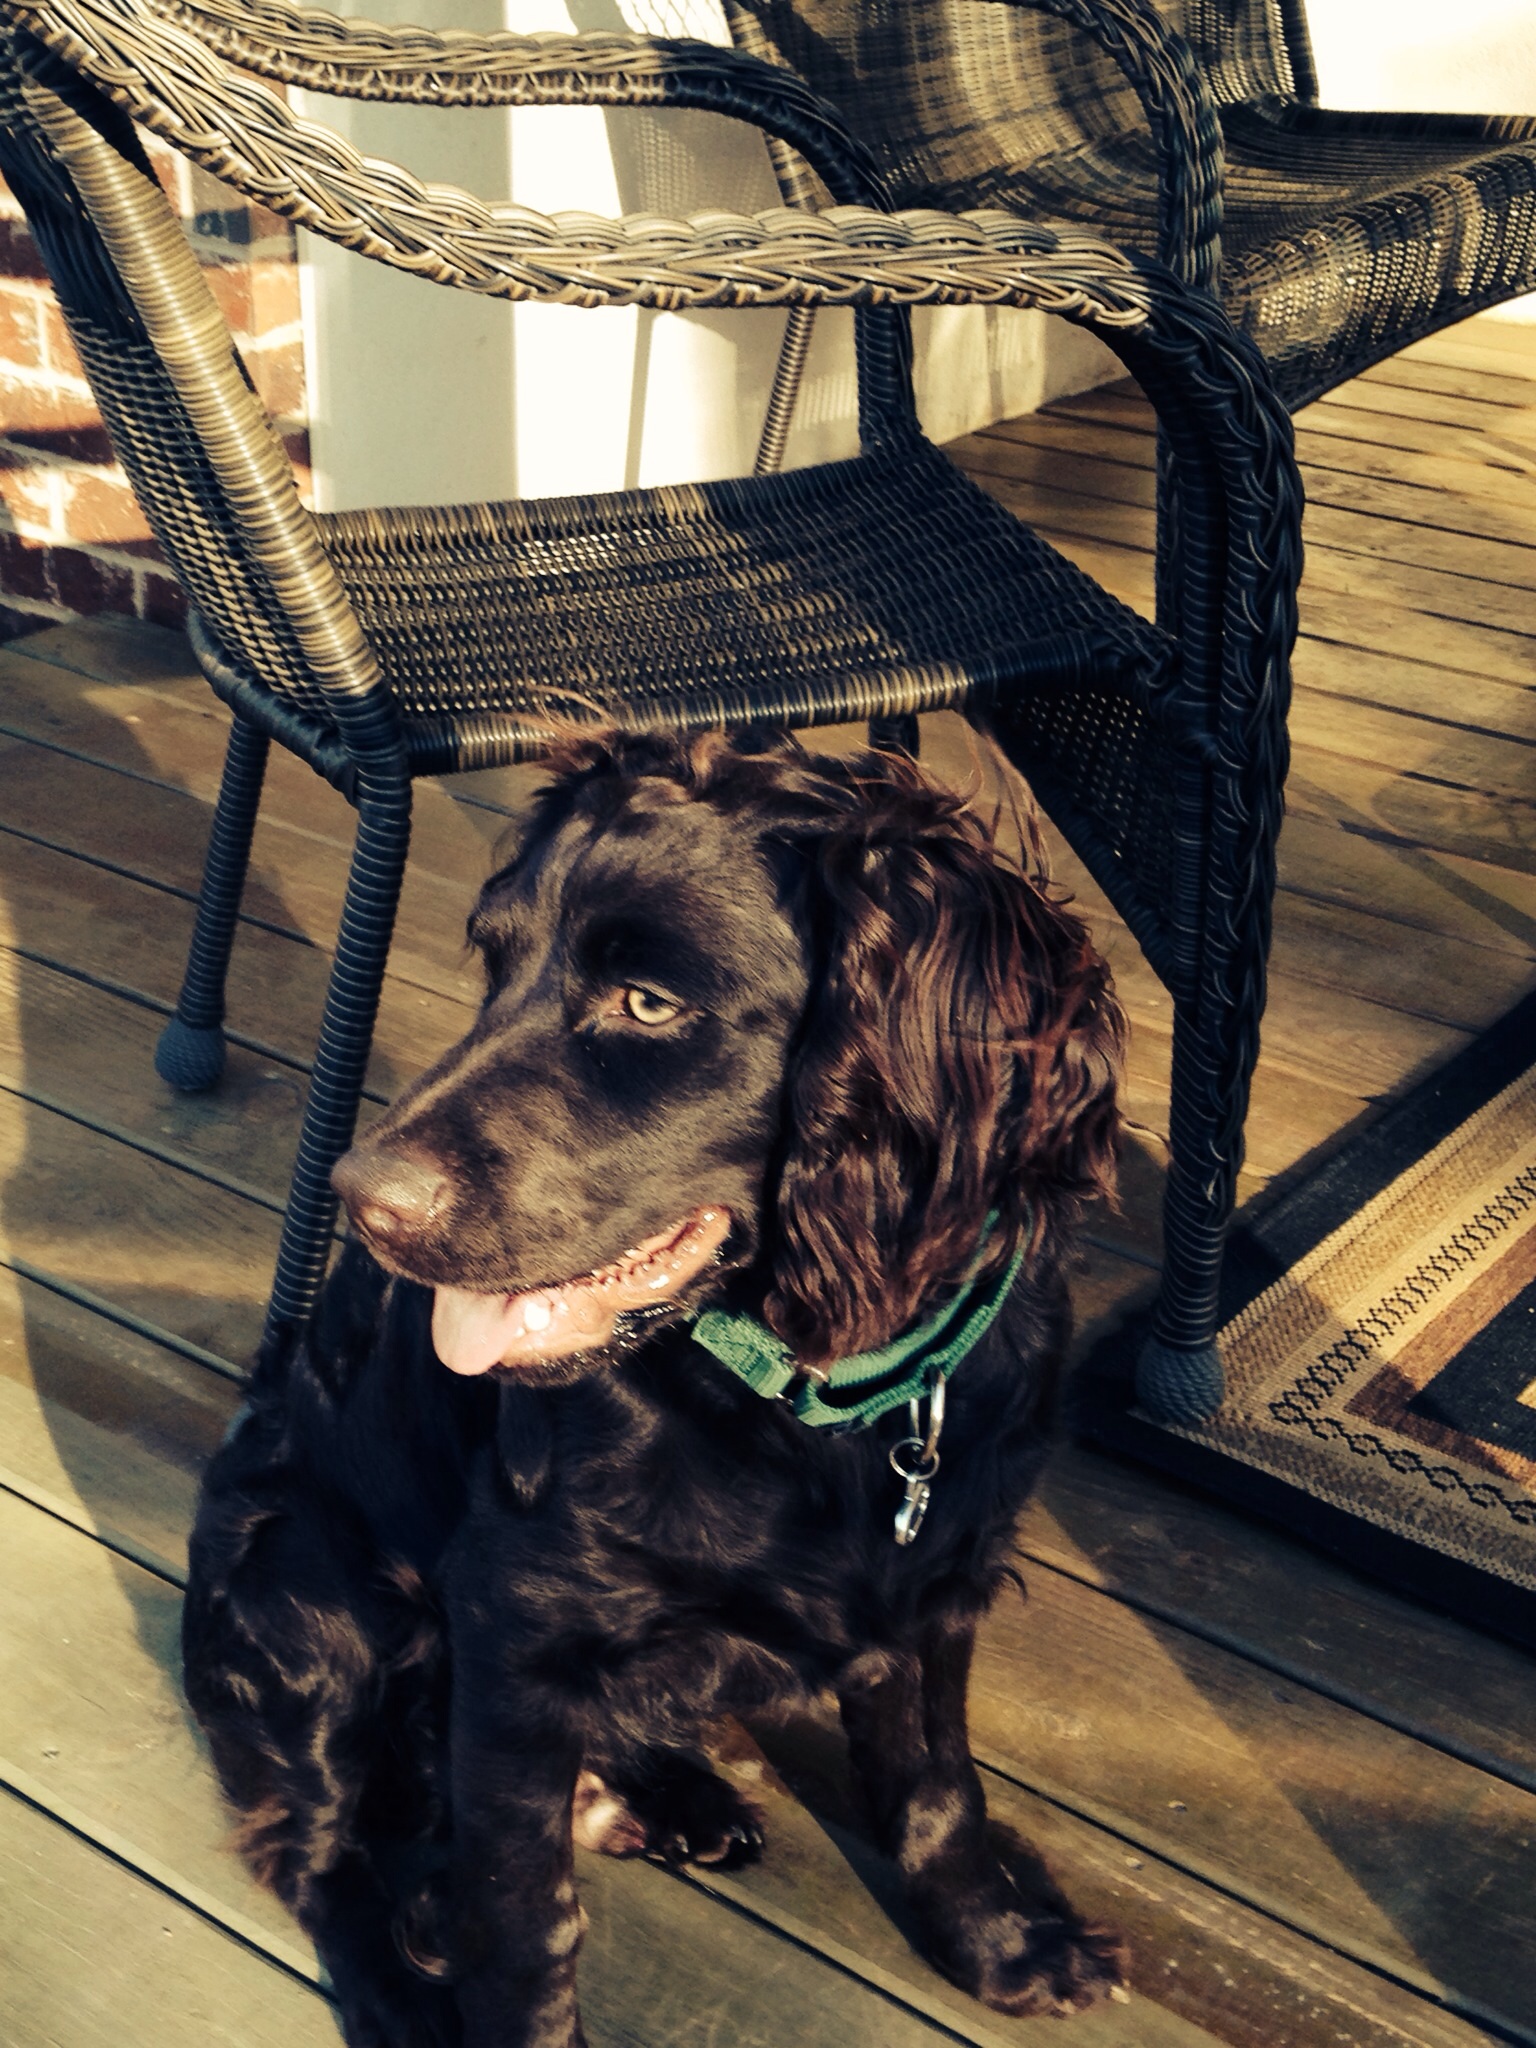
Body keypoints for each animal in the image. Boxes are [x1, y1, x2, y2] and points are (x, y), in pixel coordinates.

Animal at [183, 728, 1128, 2047]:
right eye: (495, 963)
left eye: (647, 1002)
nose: (360, 1199)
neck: (810, 1402)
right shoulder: (513, 1626)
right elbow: (525, 1919)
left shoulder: (938, 1586)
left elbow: (940, 1785)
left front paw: (1001, 1944)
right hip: (307, 1583)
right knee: (324, 1849)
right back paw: (406, 1989)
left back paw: (678, 1793)